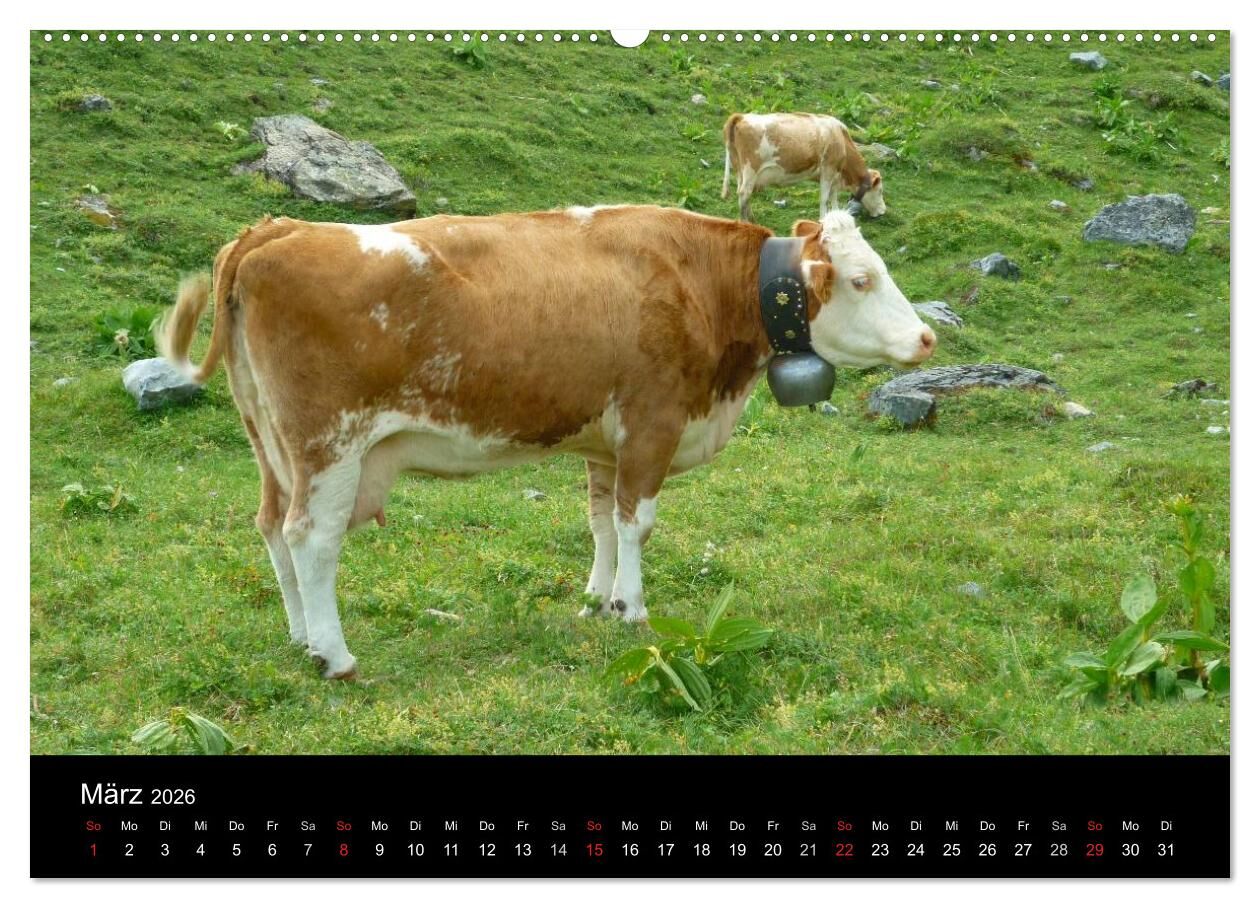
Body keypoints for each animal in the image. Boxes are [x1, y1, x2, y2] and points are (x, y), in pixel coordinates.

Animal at [158, 205, 935, 679]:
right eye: (862, 279)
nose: (928, 337)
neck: (700, 282)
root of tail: (276, 229)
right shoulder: (652, 422)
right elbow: (637, 523)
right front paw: (634, 609)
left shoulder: (605, 442)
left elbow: (601, 522)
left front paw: (597, 600)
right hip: (330, 446)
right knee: (311, 541)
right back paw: (335, 654)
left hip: (270, 442)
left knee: (270, 528)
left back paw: (300, 639)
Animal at [722, 112, 886, 222]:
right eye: (880, 191)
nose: (883, 211)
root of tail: (741, 117)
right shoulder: (828, 169)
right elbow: (824, 198)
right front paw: (822, 220)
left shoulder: (834, 175)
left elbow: (833, 197)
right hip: (750, 168)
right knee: (744, 193)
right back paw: (745, 222)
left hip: (740, 169)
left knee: (743, 194)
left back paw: (752, 218)